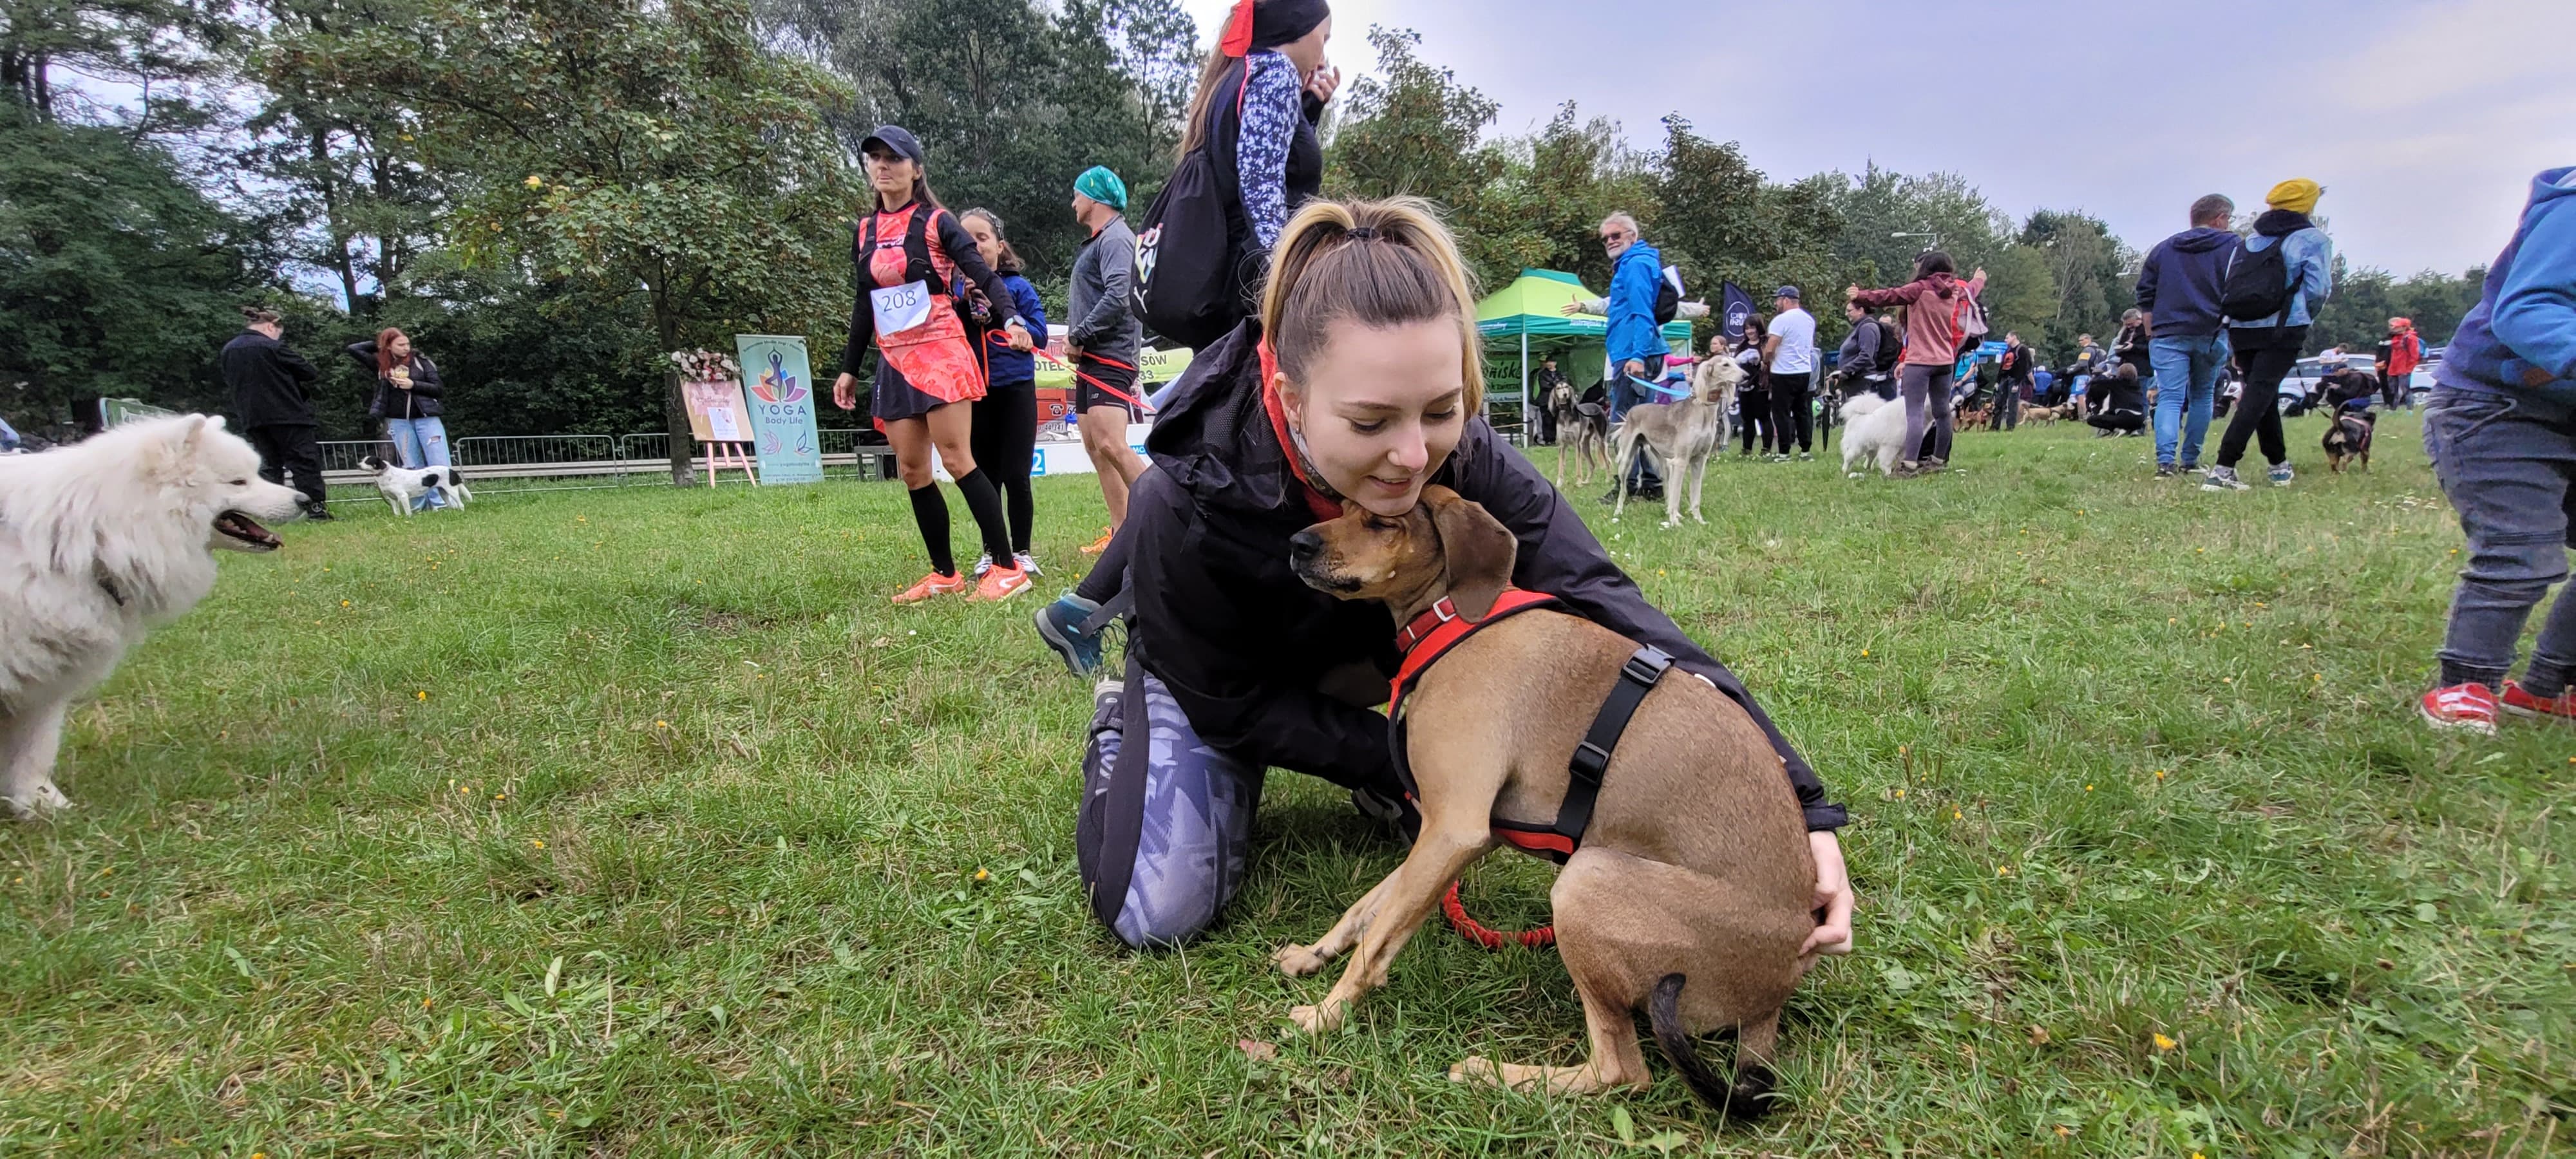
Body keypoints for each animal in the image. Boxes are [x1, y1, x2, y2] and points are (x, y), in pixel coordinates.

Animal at [0, 417, 307, 814]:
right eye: (238, 481)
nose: (305, 499)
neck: (86, 538)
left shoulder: (44, 675)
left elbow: (33, 749)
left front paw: (44, 806)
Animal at [355, 453, 471, 515]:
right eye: (362, 460)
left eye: (368, 461)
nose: (358, 465)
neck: (386, 475)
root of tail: (452, 471)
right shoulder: (392, 498)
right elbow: (396, 512)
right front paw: (398, 518)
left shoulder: (403, 496)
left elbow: (408, 512)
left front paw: (409, 518)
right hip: (443, 492)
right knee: (451, 505)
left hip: (451, 490)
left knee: (461, 504)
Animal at [1283, 484, 1814, 1107]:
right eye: (1341, 505)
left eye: (1382, 522)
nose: (1297, 542)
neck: (1455, 619)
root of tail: (1775, 992)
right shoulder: (1456, 835)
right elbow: (1371, 910)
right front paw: (1313, 955)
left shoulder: (1453, 828)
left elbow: (1378, 938)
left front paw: (1325, 1016)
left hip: (1585, 882)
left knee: (1621, 1071)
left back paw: (1491, 1074)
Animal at [1834, 391, 1917, 476]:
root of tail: (1856, 416)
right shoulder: (1890, 446)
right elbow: (1887, 462)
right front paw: (1888, 474)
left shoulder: (1902, 448)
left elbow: (1900, 460)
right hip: (1856, 449)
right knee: (1848, 459)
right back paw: (1844, 471)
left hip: (1872, 450)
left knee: (1869, 461)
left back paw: (1868, 471)